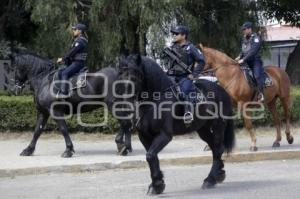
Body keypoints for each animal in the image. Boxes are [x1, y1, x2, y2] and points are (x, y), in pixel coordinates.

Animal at [118, 54, 236, 194]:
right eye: (119, 76)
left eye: (134, 77)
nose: (124, 105)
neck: (155, 99)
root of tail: (222, 90)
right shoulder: (144, 136)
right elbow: (152, 157)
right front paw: (157, 184)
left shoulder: (165, 135)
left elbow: (150, 156)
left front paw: (157, 184)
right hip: (203, 129)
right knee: (214, 148)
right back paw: (219, 173)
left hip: (218, 126)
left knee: (218, 149)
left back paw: (210, 179)